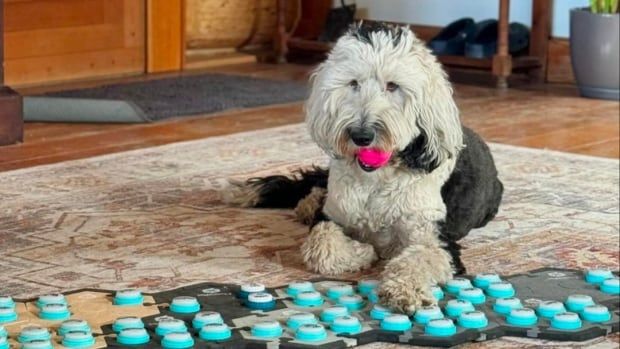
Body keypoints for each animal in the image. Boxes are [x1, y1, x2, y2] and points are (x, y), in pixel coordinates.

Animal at [224, 23, 504, 314]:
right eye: (353, 83)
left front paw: (403, 289)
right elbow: (321, 244)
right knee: (313, 183)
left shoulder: (436, 238)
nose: (361, 135)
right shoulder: (333, 216)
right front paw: (363, 252)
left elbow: (420, 258)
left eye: (393, 86)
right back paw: (296, 202)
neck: (375, 180)